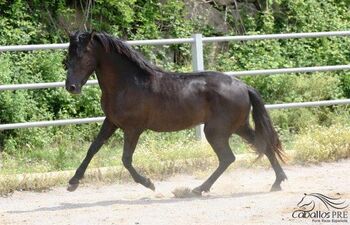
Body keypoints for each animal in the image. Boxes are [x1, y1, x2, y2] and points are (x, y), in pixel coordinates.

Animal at [64, 32, 286, 195]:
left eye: (82, 54)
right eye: (69, 54)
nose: (71, 87)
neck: (129, 83)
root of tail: (243, 86)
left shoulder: (133, 129)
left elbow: (126, 159)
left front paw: (149, 183)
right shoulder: (111, 122)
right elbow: (93, 148)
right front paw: (73, 182)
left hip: (216, 131)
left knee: (228, 158)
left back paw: (199, 189)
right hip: (239, 127)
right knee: (263, 146)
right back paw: (277, 182)